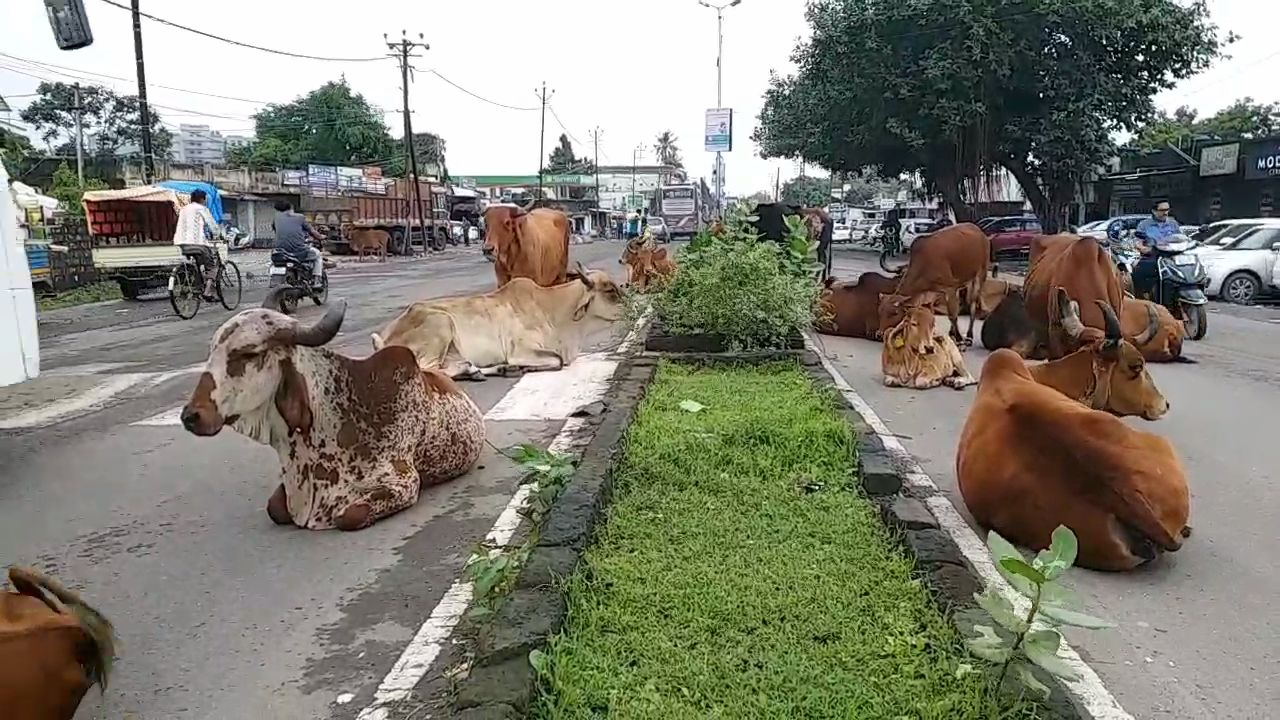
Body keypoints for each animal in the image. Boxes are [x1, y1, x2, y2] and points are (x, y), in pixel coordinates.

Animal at [186, 288, 488, 530]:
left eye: (249, 353)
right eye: (212, 350)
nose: (191, 416)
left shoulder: (404, 483)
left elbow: (348, 516)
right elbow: (274, 508)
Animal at [373, 260, 627, 379]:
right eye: (610, 291)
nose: (632, 305)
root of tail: (383, 339)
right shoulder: (522, 349)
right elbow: (557, 360)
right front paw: (524, 366)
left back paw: (487, 370)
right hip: (441, 325)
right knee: (430, 370)